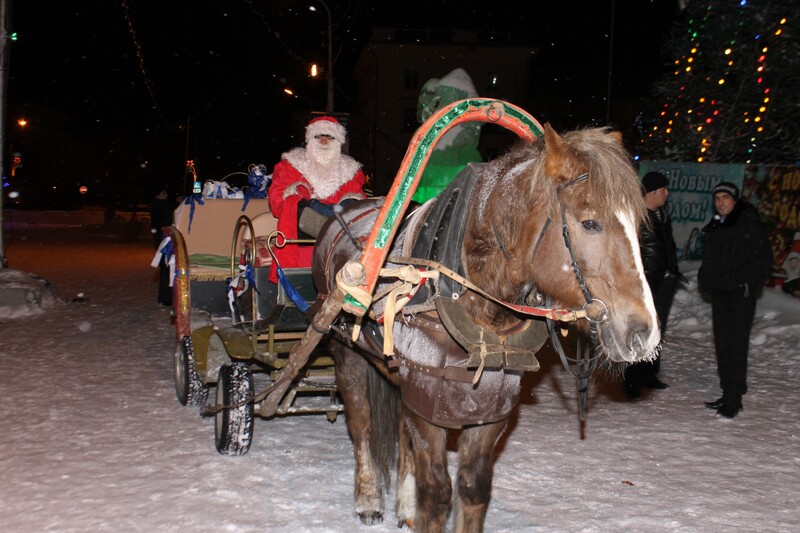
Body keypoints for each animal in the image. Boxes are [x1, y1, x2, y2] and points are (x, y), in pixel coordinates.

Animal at [310, 121, 656, 532]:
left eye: (638, 225)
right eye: (590, 222)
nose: (644, 333)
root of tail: (351, 208)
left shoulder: (488, 410)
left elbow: (473, 488)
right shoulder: (427, 402)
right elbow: (436, 492)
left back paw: (403, 504)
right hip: (345, 350)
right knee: (361, 422)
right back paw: (368, 498)